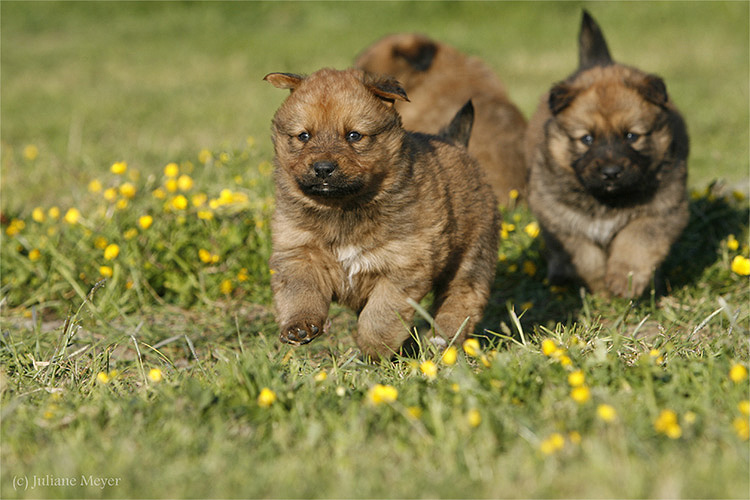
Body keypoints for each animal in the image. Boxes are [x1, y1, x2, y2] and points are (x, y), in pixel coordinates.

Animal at [264, 68, 500, 362]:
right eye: (303, 136)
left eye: (354, 135)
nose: (323, 168)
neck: (343, 209)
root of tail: (456, 144)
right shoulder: (298, 253)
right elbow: (299, 294)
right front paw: (299, 327)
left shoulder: (401, 269)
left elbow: (379, 318)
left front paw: (374, 350)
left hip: (472, 256)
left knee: (462, 299)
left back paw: (441, 343)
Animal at [524, 11, 692, 298]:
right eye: (587, 139)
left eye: (631, 136)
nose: (611, 173)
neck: (607, 202)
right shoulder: (565, 222)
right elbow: (588, 261)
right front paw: (603, 292)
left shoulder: (661, 211)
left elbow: (636, 243)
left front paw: (624, 281)